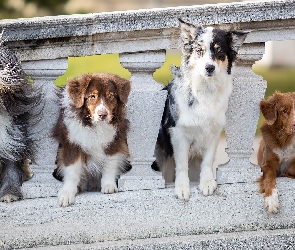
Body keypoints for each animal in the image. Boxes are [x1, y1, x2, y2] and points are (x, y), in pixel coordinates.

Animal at [53, 73, 131, 207]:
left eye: (111, 95)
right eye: (92, 96)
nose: (103, 115)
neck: (94, 126)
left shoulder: (113, 142)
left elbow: (110, 164)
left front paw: (108, 185)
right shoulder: (72, 143)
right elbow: (72, 169)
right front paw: (67, 193)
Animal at [155, 18, 250, 200]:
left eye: (219, 51)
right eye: (199, 51)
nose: (209, 68)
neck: (205, 88)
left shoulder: (214, 132)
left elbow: (207, 161)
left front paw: (207, 183)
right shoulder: (179, 133)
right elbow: (182, 164)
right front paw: (182, 187)